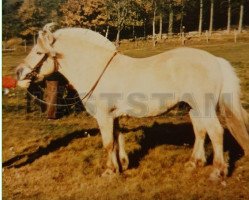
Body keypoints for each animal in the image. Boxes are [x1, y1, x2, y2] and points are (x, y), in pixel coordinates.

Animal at [16, 24, 248, 180]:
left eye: (38, 52)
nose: (19, 73)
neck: (97, 69)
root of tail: (214, 60)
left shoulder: (103, 116)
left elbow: (108, 142)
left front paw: (109, 171)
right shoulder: (113, 116)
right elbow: (117, 138)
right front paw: (122, 165)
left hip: (204, 106)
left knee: (216, 132)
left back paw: (218, 171)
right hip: (194, 108)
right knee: (200, 132)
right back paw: (194, 163)